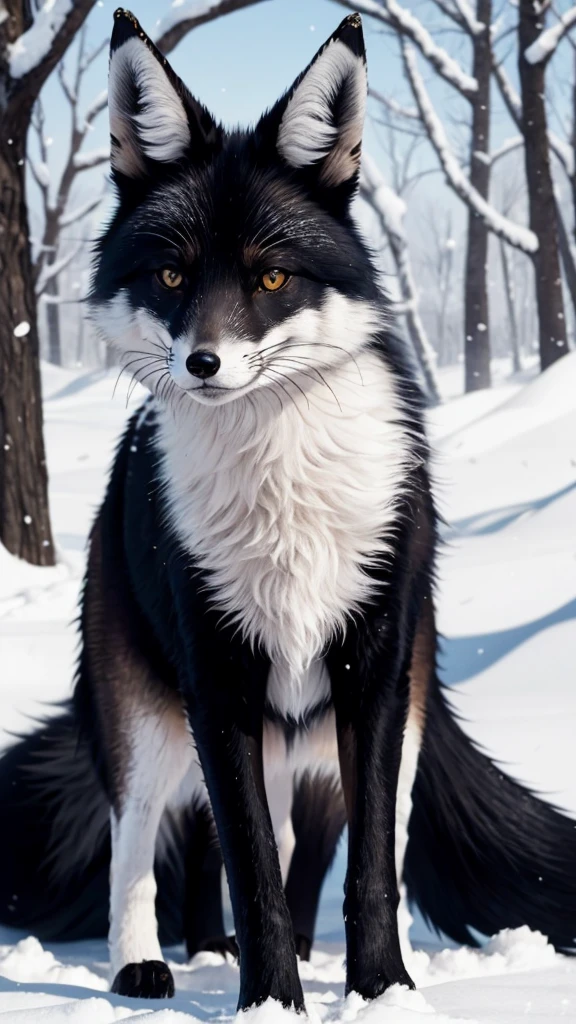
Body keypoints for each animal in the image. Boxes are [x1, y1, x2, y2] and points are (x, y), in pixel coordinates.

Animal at [1, 8, 573, 1011]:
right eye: (172, 277)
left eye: (271, 280)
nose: (204, 363)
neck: (282, 491)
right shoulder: (216, 678)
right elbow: (249, 866)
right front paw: (269, 1003)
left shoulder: (370, 675)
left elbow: (365, 870)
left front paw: (380, 993)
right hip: (151, 715)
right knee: (142, 838)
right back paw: (152, 963)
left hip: (368, 727)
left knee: (309, 846)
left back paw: (259, 950)